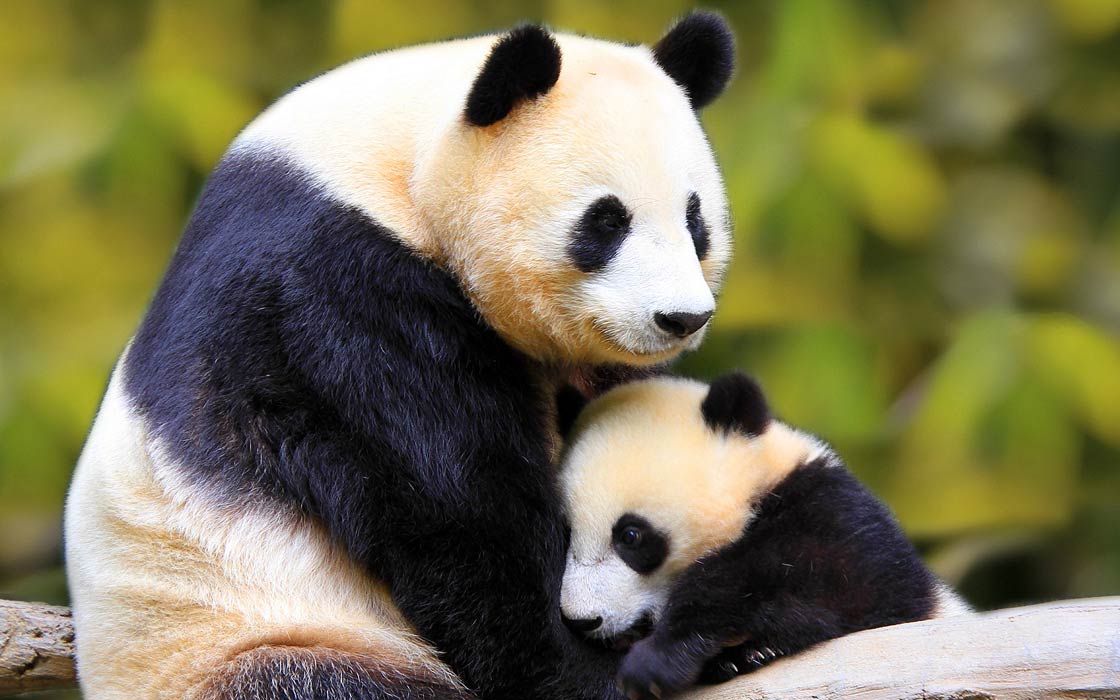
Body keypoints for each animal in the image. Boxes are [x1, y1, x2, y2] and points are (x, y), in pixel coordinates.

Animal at [63, 14, 735, 700]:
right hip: (247, 641)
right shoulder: (334, 291)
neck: (395, 164)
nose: (681, 317)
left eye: (694, 219)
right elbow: (459, 512)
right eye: (605, 222)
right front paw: (605, 668)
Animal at [556, 373, 969, 700]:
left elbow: (835, 587)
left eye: (630, 536)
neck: (759, 487)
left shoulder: (839, 519)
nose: (582, 620)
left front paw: (658, 659)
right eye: (568, 531)